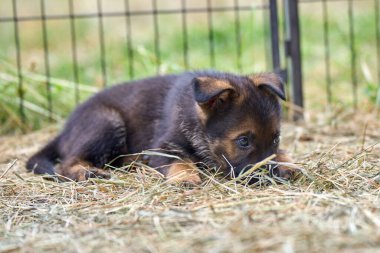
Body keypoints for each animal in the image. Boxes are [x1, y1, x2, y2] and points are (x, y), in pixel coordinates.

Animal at [26, 70, 296, 185]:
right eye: (243, 141)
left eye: (275, 138)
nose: (270, 175)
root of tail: (64, 130)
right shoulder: (161, 148)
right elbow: (179, 161)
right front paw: (186, 176)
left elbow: (284, 152)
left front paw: (286, 163)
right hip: (106, 122)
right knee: (67, 162)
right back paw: (86, 172)